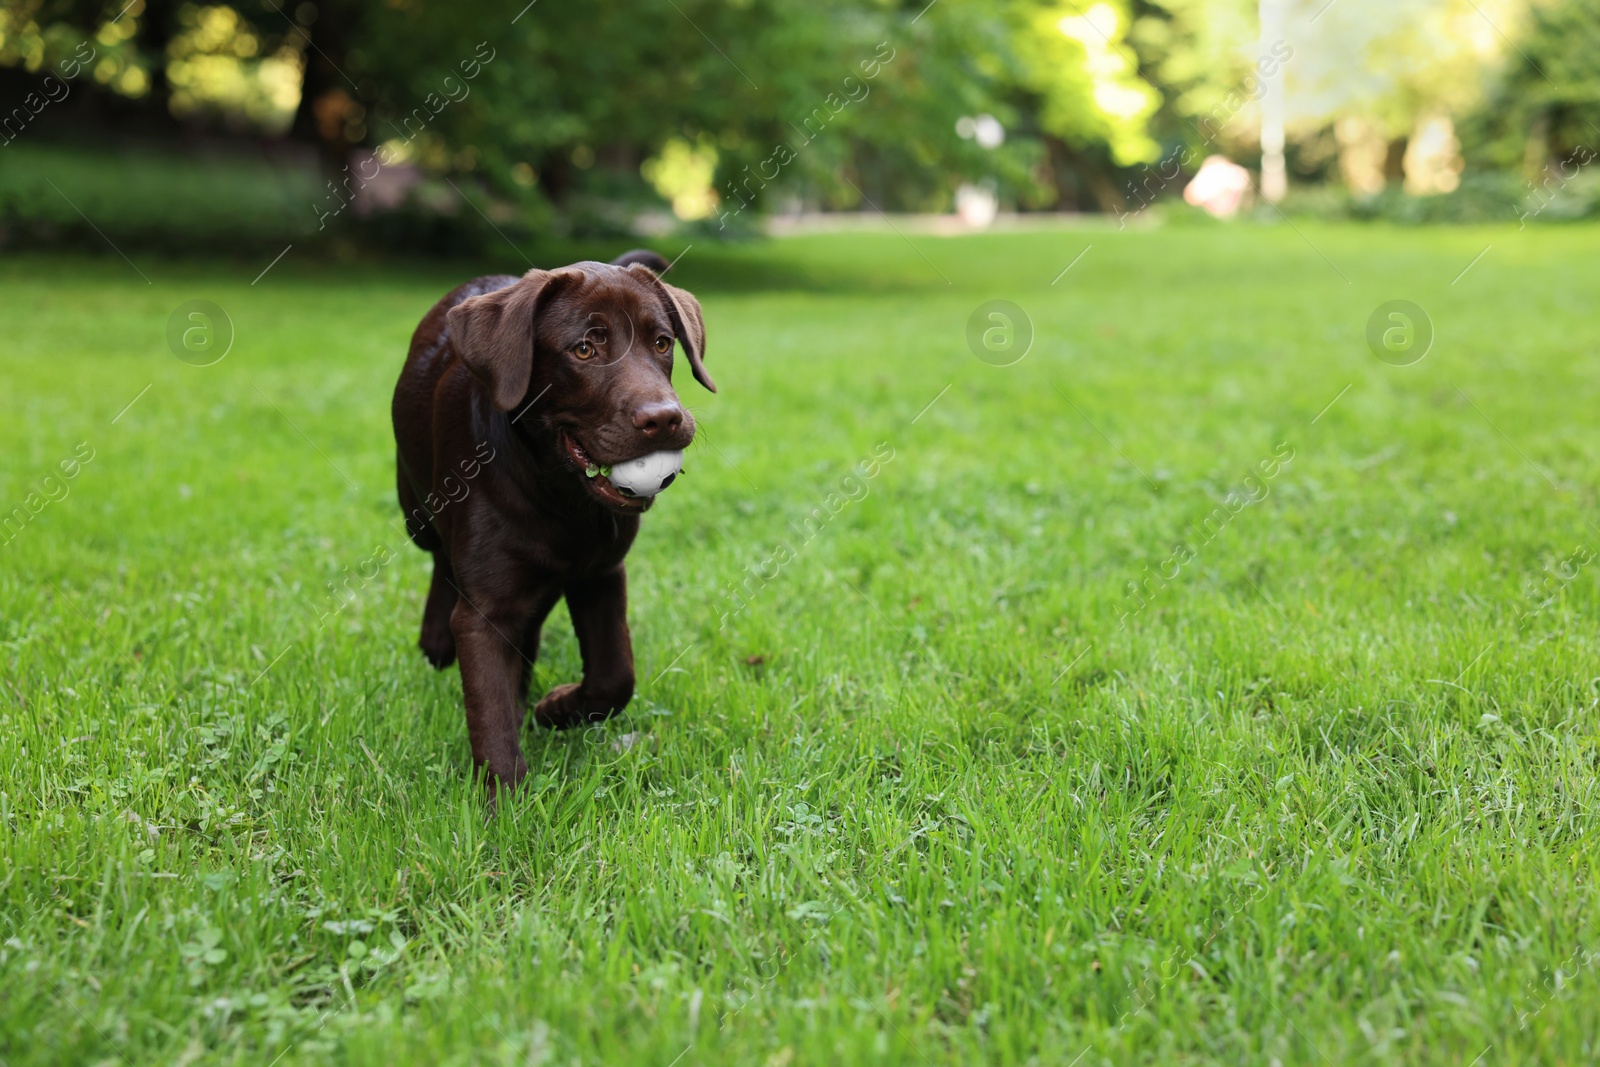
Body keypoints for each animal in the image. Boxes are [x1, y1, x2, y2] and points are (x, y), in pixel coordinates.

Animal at [390, 252, 716, 793]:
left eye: (662, 343)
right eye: (584, 349)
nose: (665, 419)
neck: (561, 497)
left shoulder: (602, 574)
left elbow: (614, 677)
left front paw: (556, 709)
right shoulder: (486, 609)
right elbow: (491, 712)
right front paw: (506, 806)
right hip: (415, 512)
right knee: (440, 559)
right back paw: (436, 641)